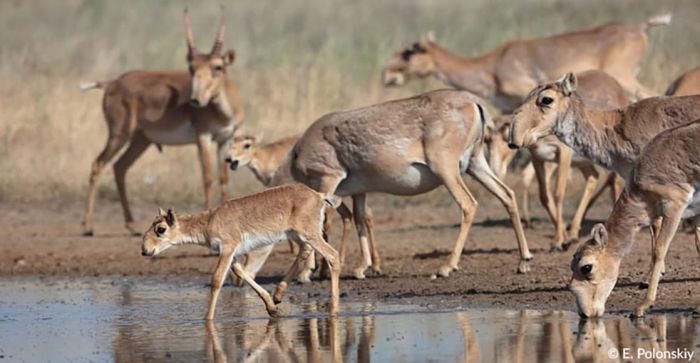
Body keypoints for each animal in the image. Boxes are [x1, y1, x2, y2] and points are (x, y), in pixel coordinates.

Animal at [79, 9, 242, 236]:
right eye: (191, 68)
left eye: (218, 67)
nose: (195, 100)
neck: (223, 110)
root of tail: (112, 83)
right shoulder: (203, 137)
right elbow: (208, 176)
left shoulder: (226, 138)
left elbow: (224, 179)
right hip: (119, 135)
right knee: (98, 164)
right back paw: (88, 226)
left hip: (140, 140)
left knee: (120, 167)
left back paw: (131, 225)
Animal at [140, 183, 342, 320]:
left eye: (160, 229)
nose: (145, 250)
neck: (209, 221)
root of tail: (318, 195)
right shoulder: (234, 254)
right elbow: (239, 272)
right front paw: (271, 308)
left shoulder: (227, 248)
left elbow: (217, 280)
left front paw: (207, 318)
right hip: (300, 235)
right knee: (305, 251)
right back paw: (278, 295)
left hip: (309, 234)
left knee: (333, 256)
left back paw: (333, 309)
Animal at [268, 89, 532, 292]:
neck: (296, 157)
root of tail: (474, 102)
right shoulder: (358, 192)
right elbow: (359, 219)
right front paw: (361, 268)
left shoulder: (328, 179)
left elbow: (319, 225)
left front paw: (306, 273)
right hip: (475, 164)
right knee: (507, 195)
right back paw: (524, 261)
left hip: (447, 170)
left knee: (468, 204)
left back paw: (446, 267)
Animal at [568, 121, 700, 318]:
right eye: (571, 265)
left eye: (587, 267)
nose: (585, 313)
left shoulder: (674, 206)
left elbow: (659, 250)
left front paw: (643, 306)